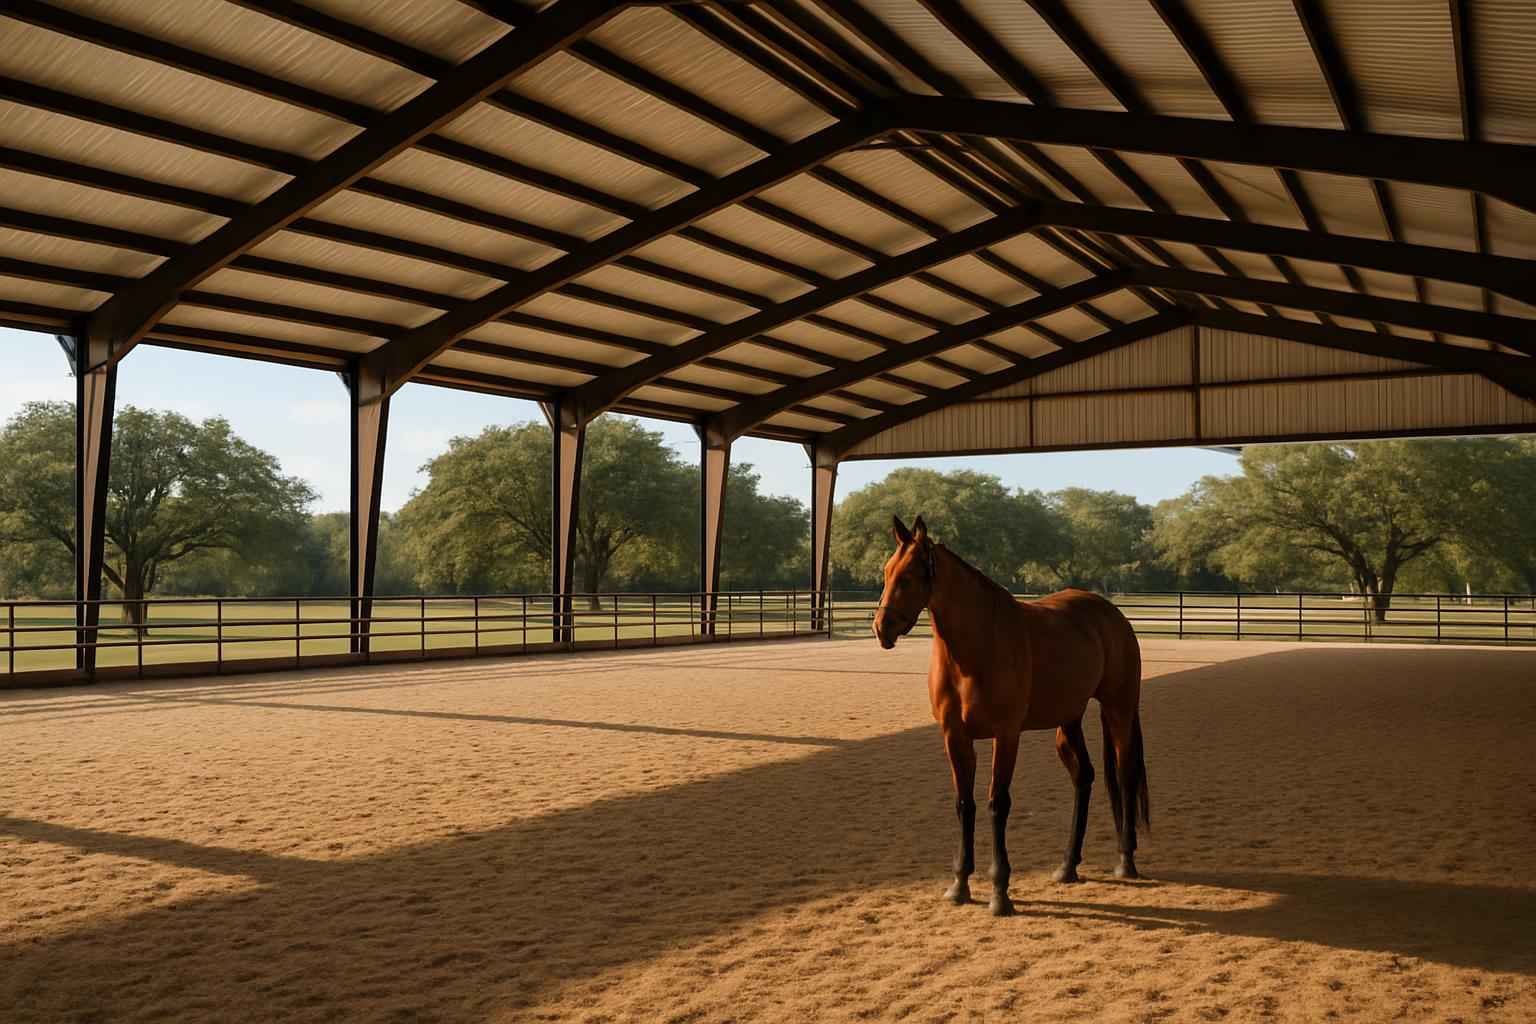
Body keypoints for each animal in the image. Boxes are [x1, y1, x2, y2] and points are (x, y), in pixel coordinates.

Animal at [872, 515, 1150, 917]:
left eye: (908, 575)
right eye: (886, 571)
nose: (882, 629)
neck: (975, 650)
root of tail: (1111, 614)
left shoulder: (1006, 735)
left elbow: (997, 804)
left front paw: (1000, 892)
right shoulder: (955, 737)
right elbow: (964, 804)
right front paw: (959, 885)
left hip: (1119, 709)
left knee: (1126, 775)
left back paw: (1126, 861)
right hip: (1069, 721)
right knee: (1084, 777)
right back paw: (1068, 865)